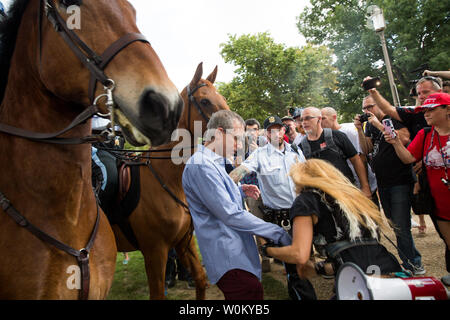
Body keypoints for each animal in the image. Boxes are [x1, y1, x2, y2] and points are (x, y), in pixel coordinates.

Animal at [112, 63, 230, 300]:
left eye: (222, 97)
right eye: (205, 101)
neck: (167, 177)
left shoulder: (184, 241)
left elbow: (200, 278)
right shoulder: (155, 252)